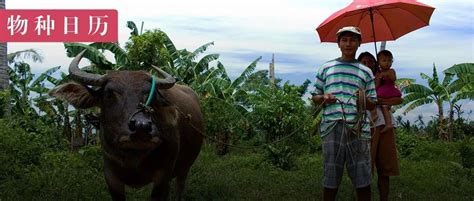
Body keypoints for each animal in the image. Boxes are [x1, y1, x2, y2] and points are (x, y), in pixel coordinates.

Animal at [49, 49, 203, 199]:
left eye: (152, 95)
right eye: (109, 94)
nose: (141, 126)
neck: (133, 157)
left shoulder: (163, 177)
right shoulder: (111, 177)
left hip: (185, 167)